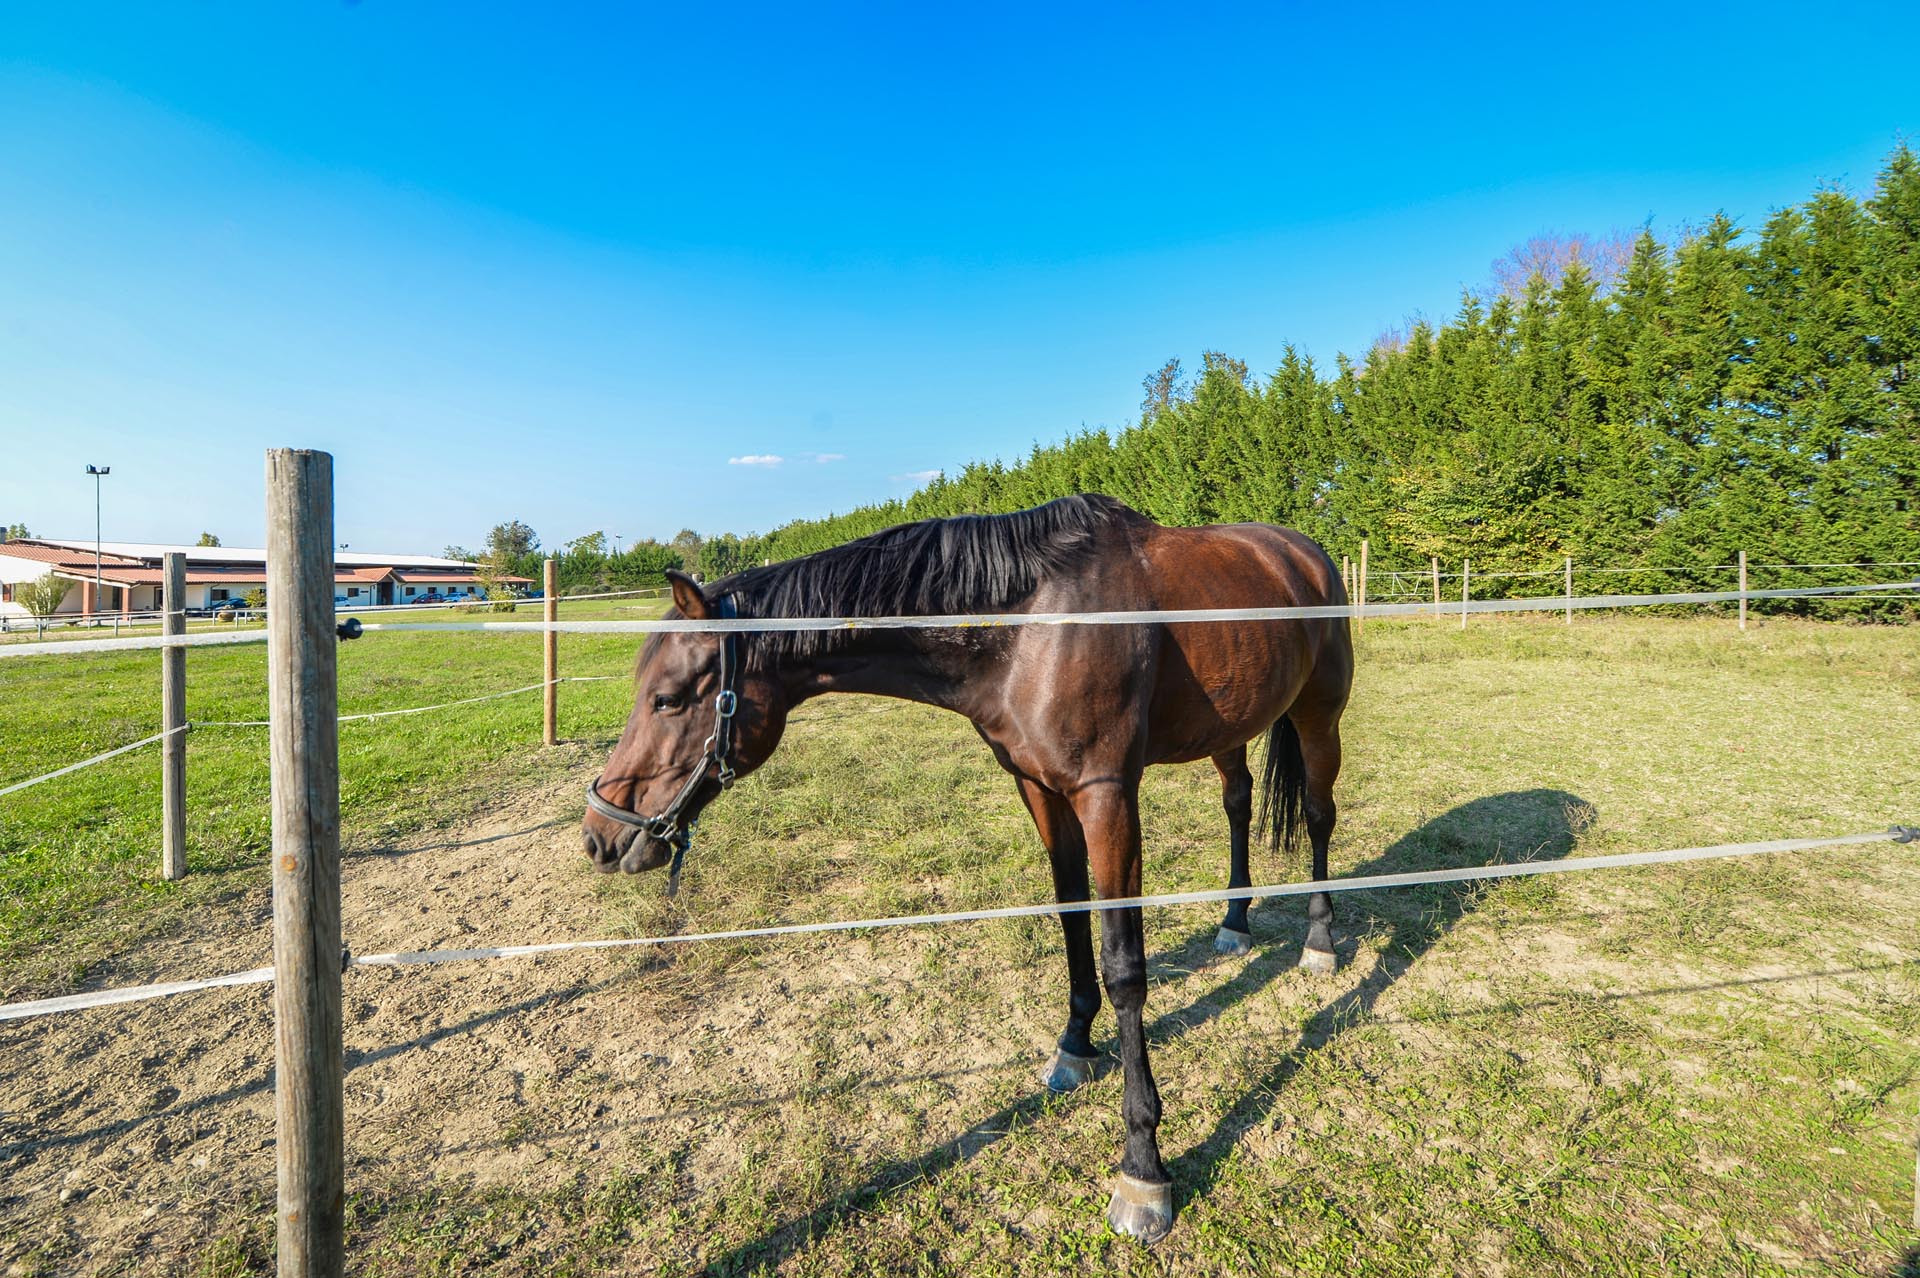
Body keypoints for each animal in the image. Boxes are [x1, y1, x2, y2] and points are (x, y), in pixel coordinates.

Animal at [581, 493, 1353, 1243]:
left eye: (668, 698)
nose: (600, 834)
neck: (1034, 625)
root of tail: (1305, 553)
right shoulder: (1038, 787)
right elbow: (1072, 922)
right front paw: (1075, 1045)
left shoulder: (1106, 796)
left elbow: (1125, 968)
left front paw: (1142, 1168)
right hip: (1228, 727)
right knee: (1238, 803)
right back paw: (1234, 922)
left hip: (1319, 716)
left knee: (1319, 816)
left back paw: (1320, 940)